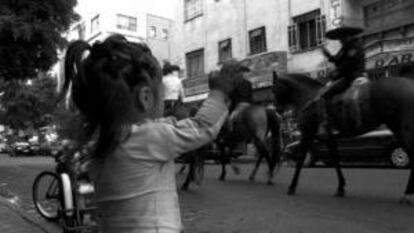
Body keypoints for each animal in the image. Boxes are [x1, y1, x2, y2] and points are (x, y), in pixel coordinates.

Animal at [272, 72, 414, 203]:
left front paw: (292, 187)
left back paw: (408, 194)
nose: (278, 111)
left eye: (274, 88)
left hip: (404, 129)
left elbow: (301, 158)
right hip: (398, 129)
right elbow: (335, 158)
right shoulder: (329, 138)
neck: (308, 97)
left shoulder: (308, 133)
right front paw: (341, 187)